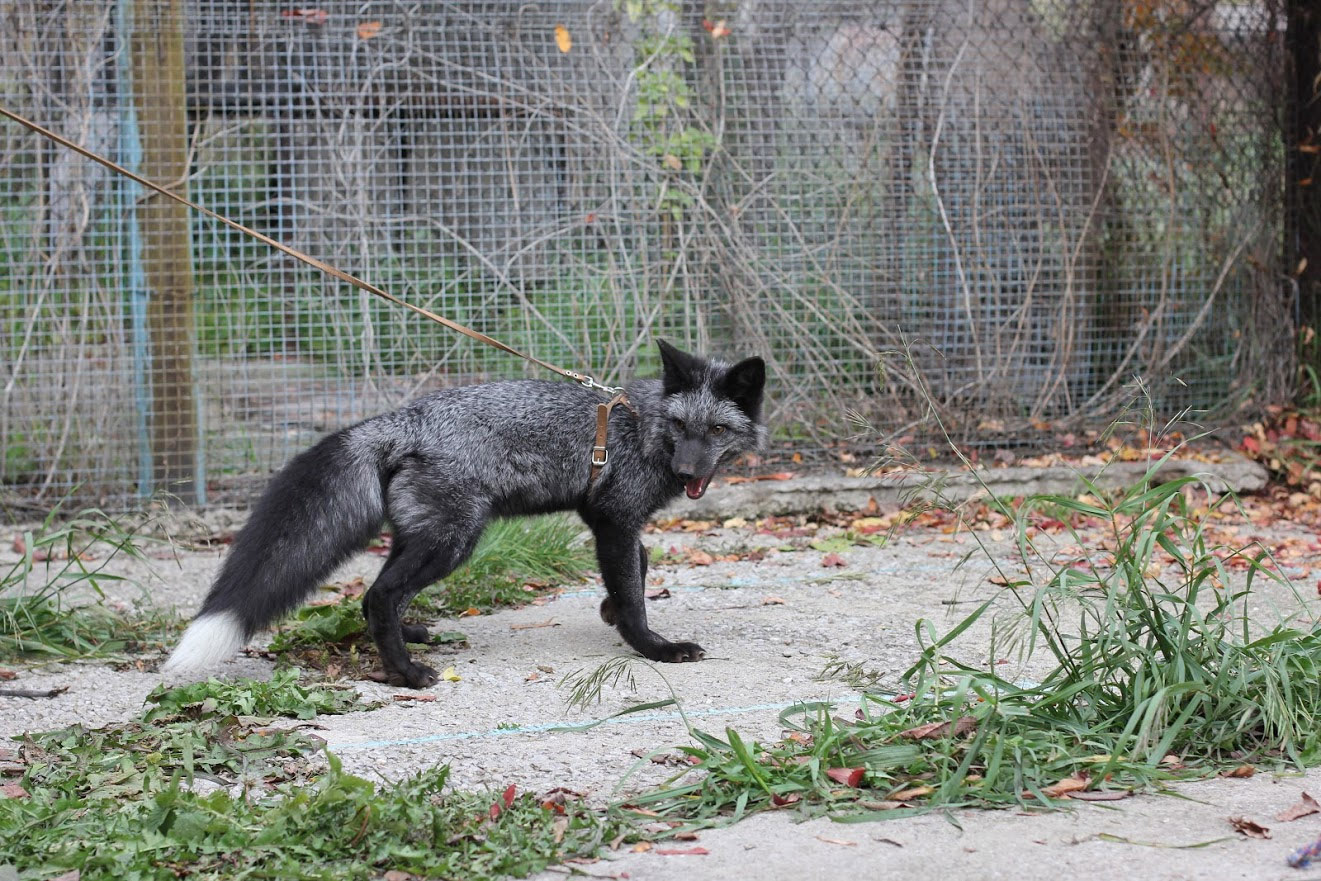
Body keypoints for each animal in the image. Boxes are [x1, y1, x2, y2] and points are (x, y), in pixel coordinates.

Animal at [163, 340, 766, 686]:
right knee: (380, 595)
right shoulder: (613, 518)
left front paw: (611, 612)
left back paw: (409, 637)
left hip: (423, 536)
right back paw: (406, 674)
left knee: (372, 596)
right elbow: (635, 591)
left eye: (716, 429)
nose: (687, 471)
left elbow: (637, 569)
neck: (643, 428)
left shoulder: (615, 522)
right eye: (681, 427)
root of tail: (400, 419)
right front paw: (653, 647)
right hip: (455, 540)